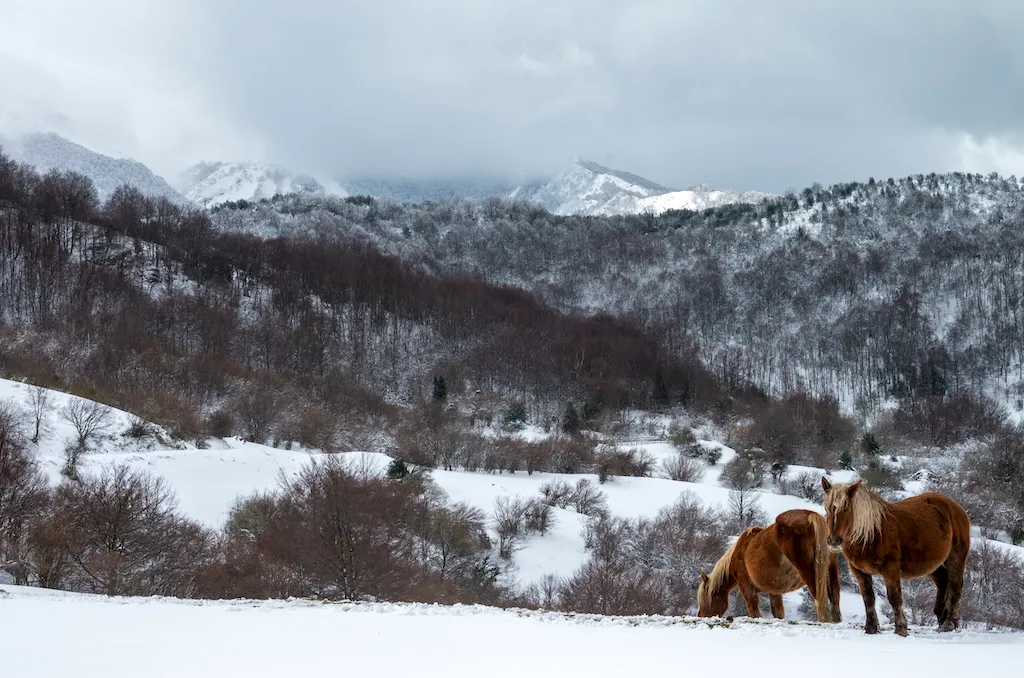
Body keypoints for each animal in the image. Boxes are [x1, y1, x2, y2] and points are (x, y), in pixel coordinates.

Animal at [697, 509, 842, 622]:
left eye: (704, 599)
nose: (700, 616)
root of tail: (812, 515)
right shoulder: (774, 591)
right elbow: (778, 613)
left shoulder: (746, 588)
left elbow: (754, 612)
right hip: (830, 570)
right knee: (834, 596)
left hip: (810, 572)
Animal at [821, 478, 970, 636]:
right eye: (828, 509)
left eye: (846, 509)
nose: (834, 541)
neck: (872, 533)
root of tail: (956, 507)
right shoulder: (859, 571)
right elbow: (868, 598)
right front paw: (871, 628)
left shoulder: (890, 569)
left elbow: (894, 598)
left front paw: (901, 628)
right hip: (930, 564)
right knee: (943, 580)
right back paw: (941, 618)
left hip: (956, 556)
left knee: (955, 587)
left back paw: (948, 623)